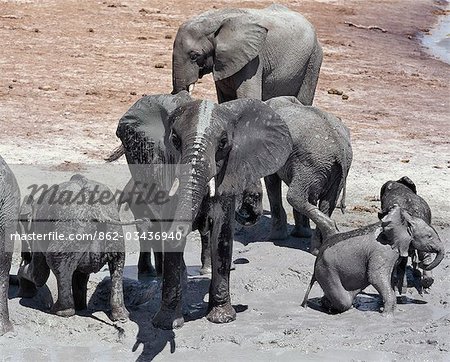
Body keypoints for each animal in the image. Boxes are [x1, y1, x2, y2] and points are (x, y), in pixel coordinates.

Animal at [18, 174, 139, 320]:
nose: (24, 256)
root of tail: (97, 211)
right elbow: (80, 274)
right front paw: (81, 307)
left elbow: (40, 275)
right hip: (113, 232)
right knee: (118, 263)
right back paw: (121, 316)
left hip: (72, 232)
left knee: (54, 259)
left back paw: (60, 311)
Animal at [172, 4, 324, 105]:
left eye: (194, 56)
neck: (214, 20)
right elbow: (225, 98)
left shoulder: (254, 59)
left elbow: (248, 96)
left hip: (314, 58)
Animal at [300, 205, 444, 316]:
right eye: (429, 236)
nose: (419, 263)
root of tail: (315, 263)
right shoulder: (383, 251)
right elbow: (376, 277)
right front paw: (386, 316)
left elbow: (390, 278)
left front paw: (389, 310)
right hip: (326, 271)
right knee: (344, 301)